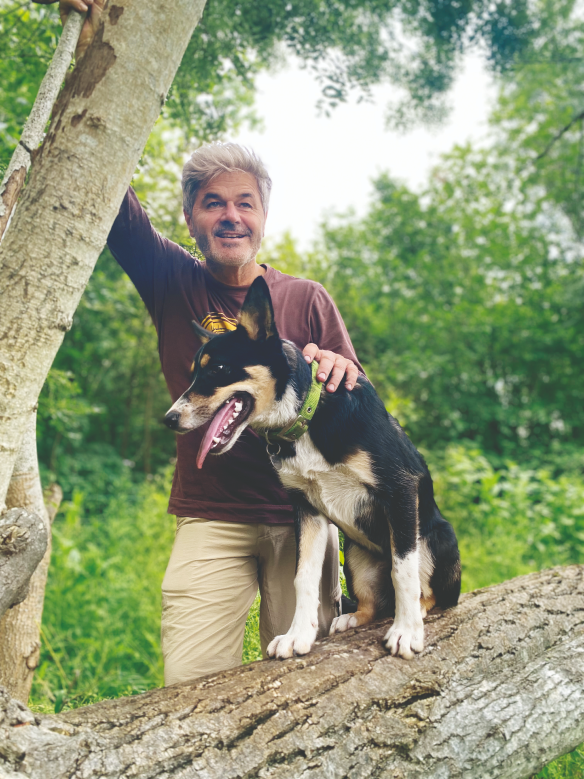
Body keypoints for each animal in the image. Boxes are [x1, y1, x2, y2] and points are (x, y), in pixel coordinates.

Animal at [164, 278, 460, 660]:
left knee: (430, 593)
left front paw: (407, 631)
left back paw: (416, 612)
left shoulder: (400, 491)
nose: (170, 419)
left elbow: (403, 570)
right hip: (356, 556)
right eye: (194, 373)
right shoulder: (306, 510)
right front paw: (297, 635)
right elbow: (303, 577)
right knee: (372, 603)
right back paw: (353, 618)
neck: (307, 416)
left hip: (437, 537)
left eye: (217, 369)